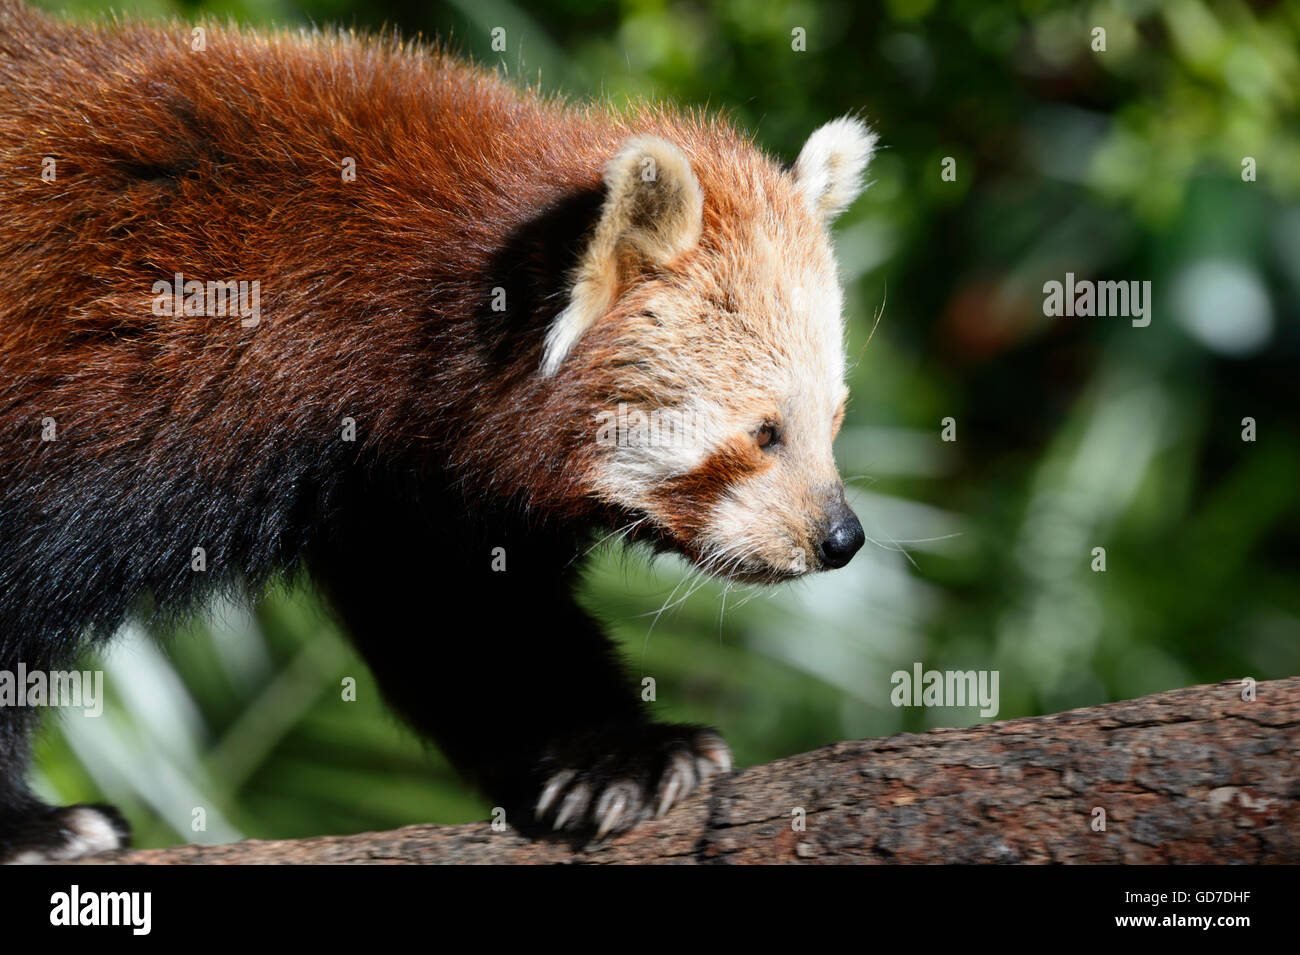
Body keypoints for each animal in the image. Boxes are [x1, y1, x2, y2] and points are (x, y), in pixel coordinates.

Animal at [2, 0, 873, 862]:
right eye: (765, 432)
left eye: (834, 418)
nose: (841, 537)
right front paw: (33, 826)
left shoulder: (391, 482)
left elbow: (464, 619)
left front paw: (619, 758)